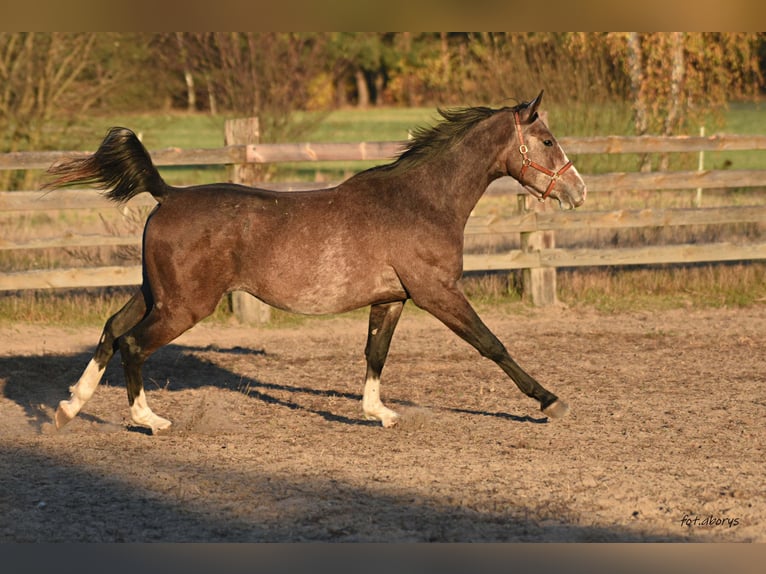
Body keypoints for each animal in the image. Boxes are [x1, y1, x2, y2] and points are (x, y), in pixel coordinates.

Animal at [43, 90, 588, 434]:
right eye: (547, 141)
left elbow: (375, 354)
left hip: (156, 294)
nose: (578, 191)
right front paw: (551, 402)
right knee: (134, 345)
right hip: (184, 306)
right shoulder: (437, 292)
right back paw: (149, 421)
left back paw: (68, 408)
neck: (421, 200)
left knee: (113, 330)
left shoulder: (392, 299)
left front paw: (379, 413)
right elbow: (491, 344)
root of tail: (168, 194)